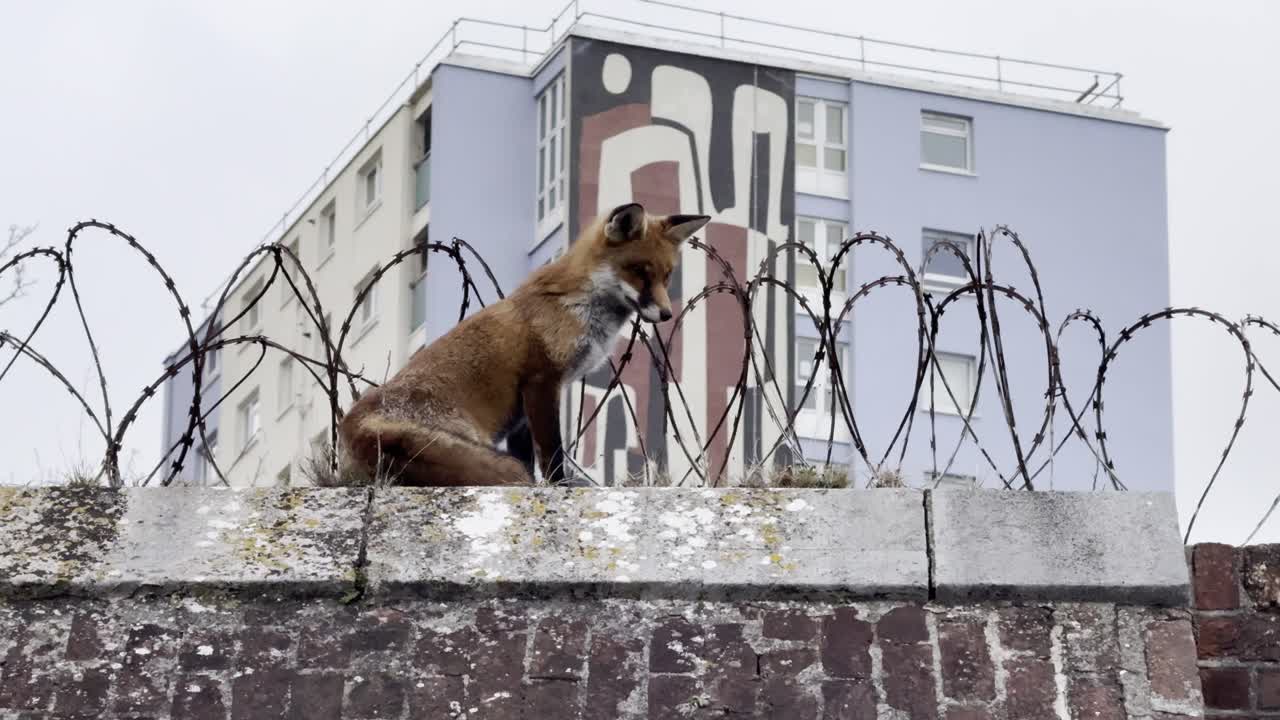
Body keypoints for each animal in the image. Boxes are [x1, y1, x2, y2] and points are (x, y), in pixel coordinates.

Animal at [338, 202, 710, 487]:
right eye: (640, 271)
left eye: (666, 275)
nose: (666, 314)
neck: (579, 304)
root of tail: (354, 433)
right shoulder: (542, 381)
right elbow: (552, 455)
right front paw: (560, 487)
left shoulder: (520, 414)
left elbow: (533, 458)